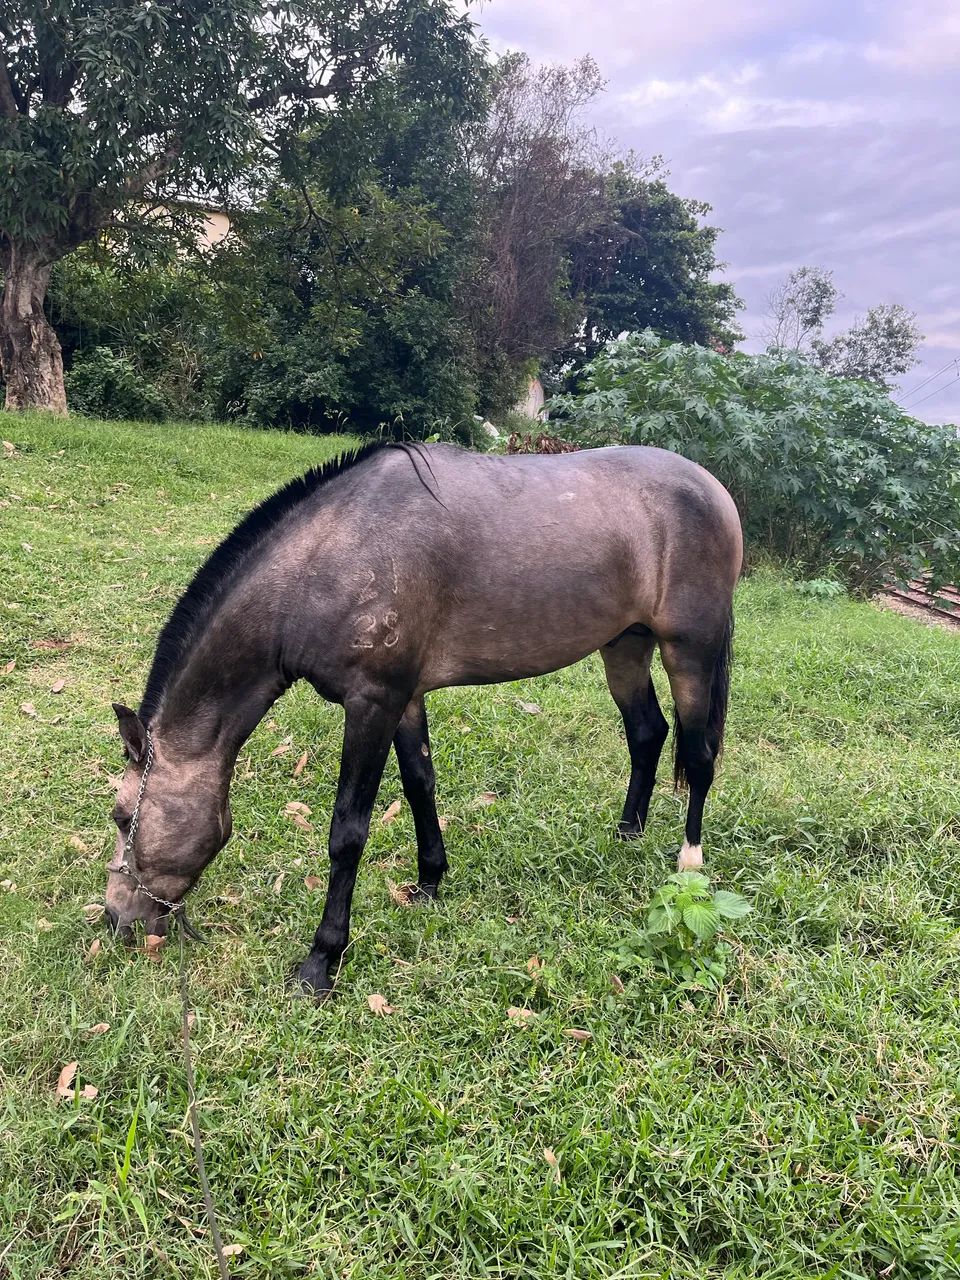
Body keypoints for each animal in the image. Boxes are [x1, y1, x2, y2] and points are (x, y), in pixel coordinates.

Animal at [104, 441, 743, 996]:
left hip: (690, 651)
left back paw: (688, 864)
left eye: (121, 816)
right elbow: (419, 785)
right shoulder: (404, 699)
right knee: (647, 733)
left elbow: (348, 833)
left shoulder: (372, 703)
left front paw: (322, 960)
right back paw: (627, 831)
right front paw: (430, 880)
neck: (330, 560)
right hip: (624, 646)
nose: (115, 919)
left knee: (699, 754)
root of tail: (714, 488)